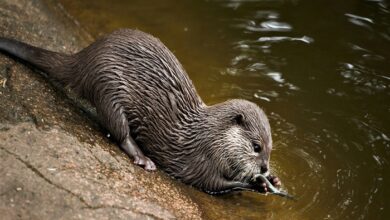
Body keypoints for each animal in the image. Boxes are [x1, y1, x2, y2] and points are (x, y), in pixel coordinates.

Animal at [0, 28, 280, 193]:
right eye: (256, 147)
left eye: (270, 147)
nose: (264, 168)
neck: (211, 137)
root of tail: (84, 58)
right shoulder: (203, 159)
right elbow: (212, 183)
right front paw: (255, 183)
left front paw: (274, 180)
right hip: (109, 89)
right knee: (119, 131)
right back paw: (143, 158)